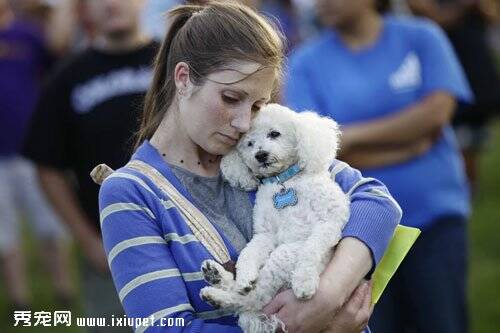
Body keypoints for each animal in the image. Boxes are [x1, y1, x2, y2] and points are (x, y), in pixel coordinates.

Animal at [197, 104, 350, 332]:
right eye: (249, 143)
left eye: (274, 134)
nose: (260, 155)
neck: (283, 182)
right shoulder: (265, 235)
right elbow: (248, 254)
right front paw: (245, 277)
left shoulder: (330, 221)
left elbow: (311, 248)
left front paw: (304, 281)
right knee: (251, 296)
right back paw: (218, 282)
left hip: (284, 254)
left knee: (256, 298)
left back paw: (216, 291)